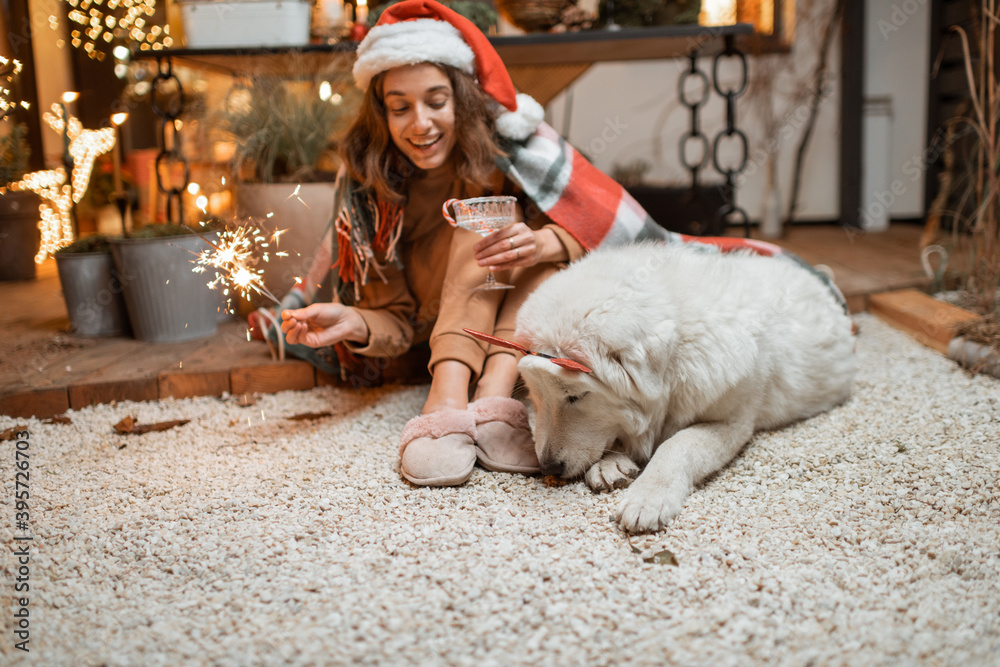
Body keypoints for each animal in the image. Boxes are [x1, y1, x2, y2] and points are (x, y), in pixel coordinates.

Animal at [516, 243, 852, 536]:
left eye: (577, 395)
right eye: (538, 397)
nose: (548, 466)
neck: (680, 354)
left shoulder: (732, 422)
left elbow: (678, 444)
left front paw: (648, 497)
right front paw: (611, 464)